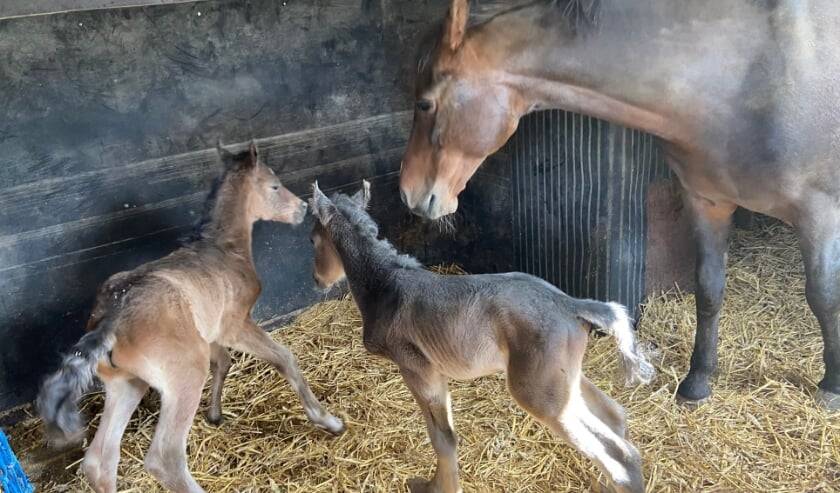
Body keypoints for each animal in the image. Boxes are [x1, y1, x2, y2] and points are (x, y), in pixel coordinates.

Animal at [37, 142, 342, 492]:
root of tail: (109, 319)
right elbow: (284, 358)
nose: (302, 209)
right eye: (274, 186)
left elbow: (224, 361)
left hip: (126, 383)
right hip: (185, 375)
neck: (224, 249)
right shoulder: (234, 325)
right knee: (164, 458)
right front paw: (327, 420)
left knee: (99, 461)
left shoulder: (209, 333)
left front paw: (215, 415)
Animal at [308, 181, 656, 492]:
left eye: (313, 240)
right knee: (615, 415)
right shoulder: (434, 370)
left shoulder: (416, 366)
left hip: (540, 394)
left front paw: (436, 488)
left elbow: (444, 438)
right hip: (563, 377)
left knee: (620, 454)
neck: (386, 285)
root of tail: (571, 304)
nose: (317, 280)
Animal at [398, 0, 840, 408]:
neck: (739, 79)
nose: (408, 193)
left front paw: (831, 386)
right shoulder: (707, 202)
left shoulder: (819, 213)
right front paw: (697, 382)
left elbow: (822, 294)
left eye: (425, 103)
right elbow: (710, 290)